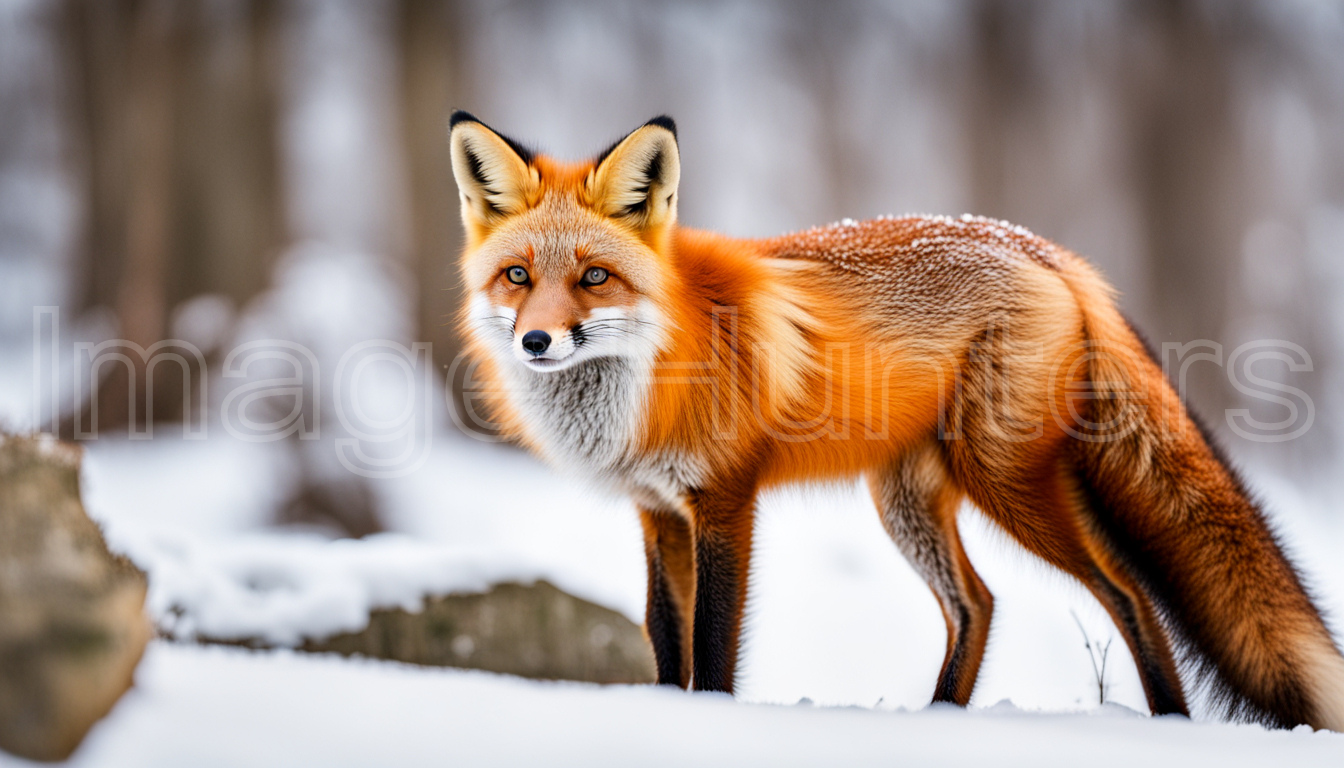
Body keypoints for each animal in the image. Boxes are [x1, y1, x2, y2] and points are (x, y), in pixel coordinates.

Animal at [448, 110, 1344, 731]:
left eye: (594, 277)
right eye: (518, 276)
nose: (536, 341)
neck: (652, 376)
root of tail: (1044, 248)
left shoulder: (725, 503)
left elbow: (713, 648)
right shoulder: (657, 513)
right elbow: (666, 643)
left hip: (1007, 485)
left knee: (1126, 593)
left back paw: (1169, 729)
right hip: (908, 501)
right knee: (978, 603)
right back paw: (940, 722)